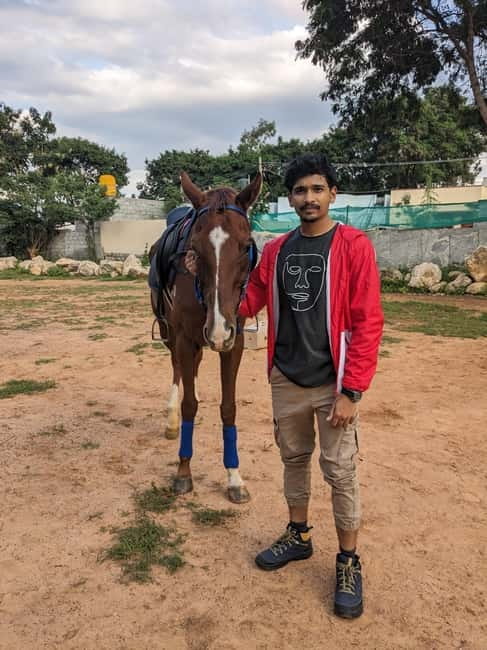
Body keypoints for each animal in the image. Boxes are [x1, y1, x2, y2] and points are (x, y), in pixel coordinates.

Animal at [149, 171, 262, 504]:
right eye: (195, 249)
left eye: (246, 245)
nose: (218, 327)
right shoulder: (186, 339)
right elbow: (189, 404)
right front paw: (183, 472)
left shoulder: (233, 342)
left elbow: (229, 407)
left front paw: (234, 478)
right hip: (170, 334)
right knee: (177, 370)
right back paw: (172, 420)